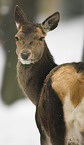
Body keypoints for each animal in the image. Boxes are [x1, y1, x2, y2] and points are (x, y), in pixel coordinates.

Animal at [14, 5, 84, 145]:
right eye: (16, 37)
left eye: (41, 38)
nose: (25, 54)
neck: (36, 95)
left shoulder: (42, 132)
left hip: (56, 124)